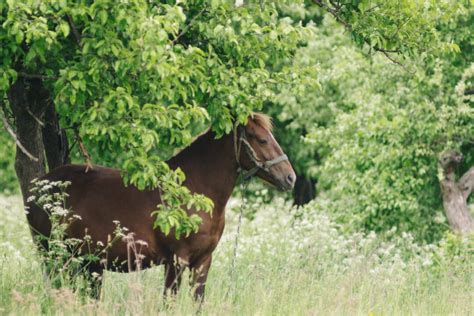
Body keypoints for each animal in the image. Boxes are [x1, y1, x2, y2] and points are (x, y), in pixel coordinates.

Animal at [25, 113, 294, 298]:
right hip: (55, 257)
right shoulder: (176, 261)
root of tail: (38, 188)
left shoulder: (203, 262)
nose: (290, 178)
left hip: (88, 263)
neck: (192, 190)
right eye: (262, 140)